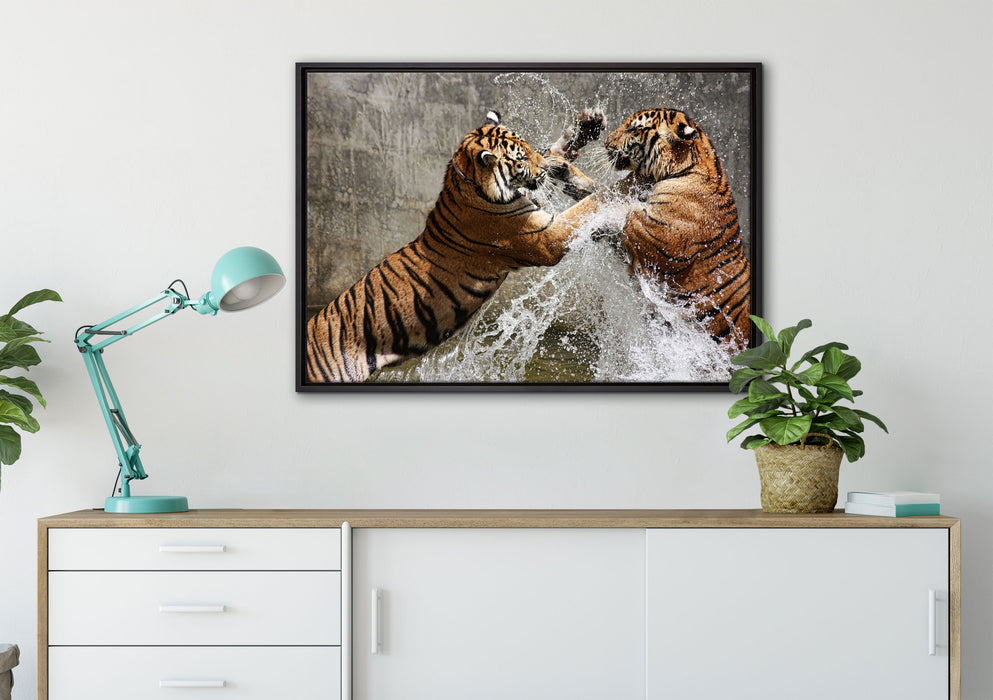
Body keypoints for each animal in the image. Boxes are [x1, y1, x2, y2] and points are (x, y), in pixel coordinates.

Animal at [305, 111, 601, 383]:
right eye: (521, 159)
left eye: (528, 147)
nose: (543, 169)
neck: (468, 181)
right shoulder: (546, 237)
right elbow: (589, 205)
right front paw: (611, 190)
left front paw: (584, 127)